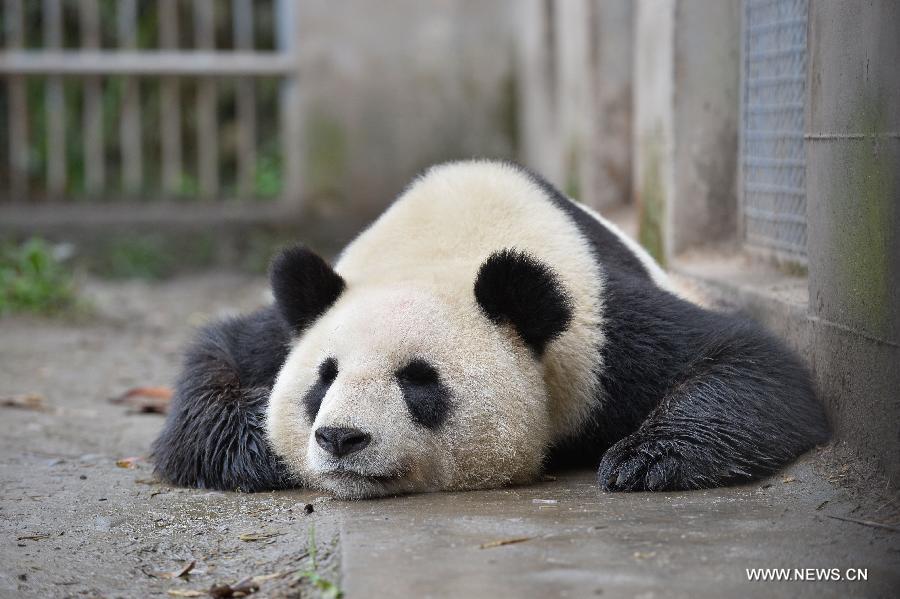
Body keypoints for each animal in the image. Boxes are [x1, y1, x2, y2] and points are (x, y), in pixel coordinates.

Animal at [149, 158, 828, 496]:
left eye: (419, 381)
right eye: (324, 378)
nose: (340, 438)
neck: (446, 246)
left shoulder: (599, 330)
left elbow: (751, 361)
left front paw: (645, 459)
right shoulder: (315, 303)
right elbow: (218, 356)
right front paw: (256, 449)